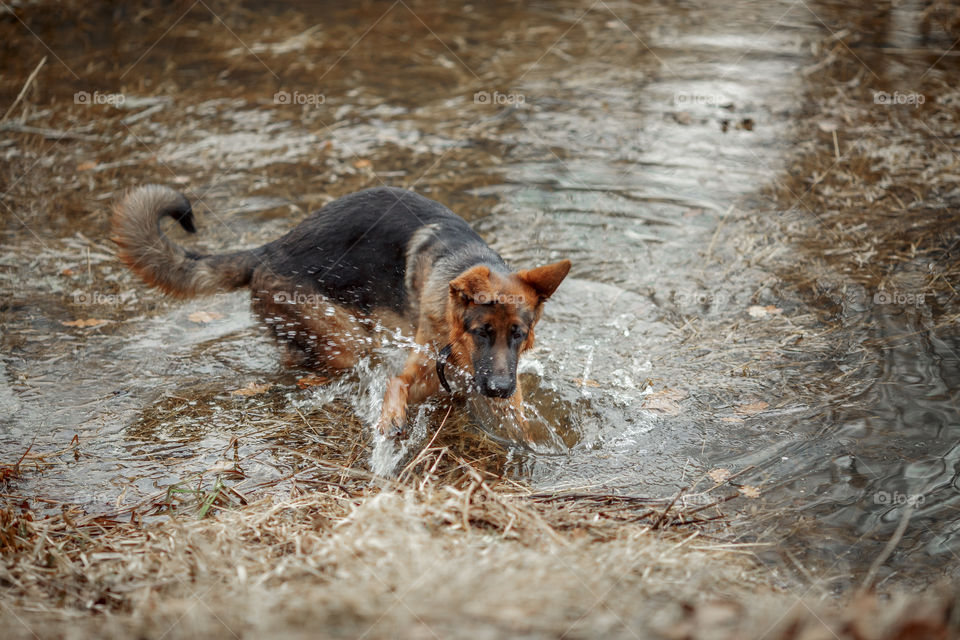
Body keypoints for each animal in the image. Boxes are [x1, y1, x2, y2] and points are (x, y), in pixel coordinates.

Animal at [116, 185, 572, 440]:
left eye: (518, 334)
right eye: (481, 332)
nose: (498, 388)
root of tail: (267, 251)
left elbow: (518, 421)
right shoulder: (422, 365)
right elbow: (395, 384)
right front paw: (390, 422)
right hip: (344, 341)